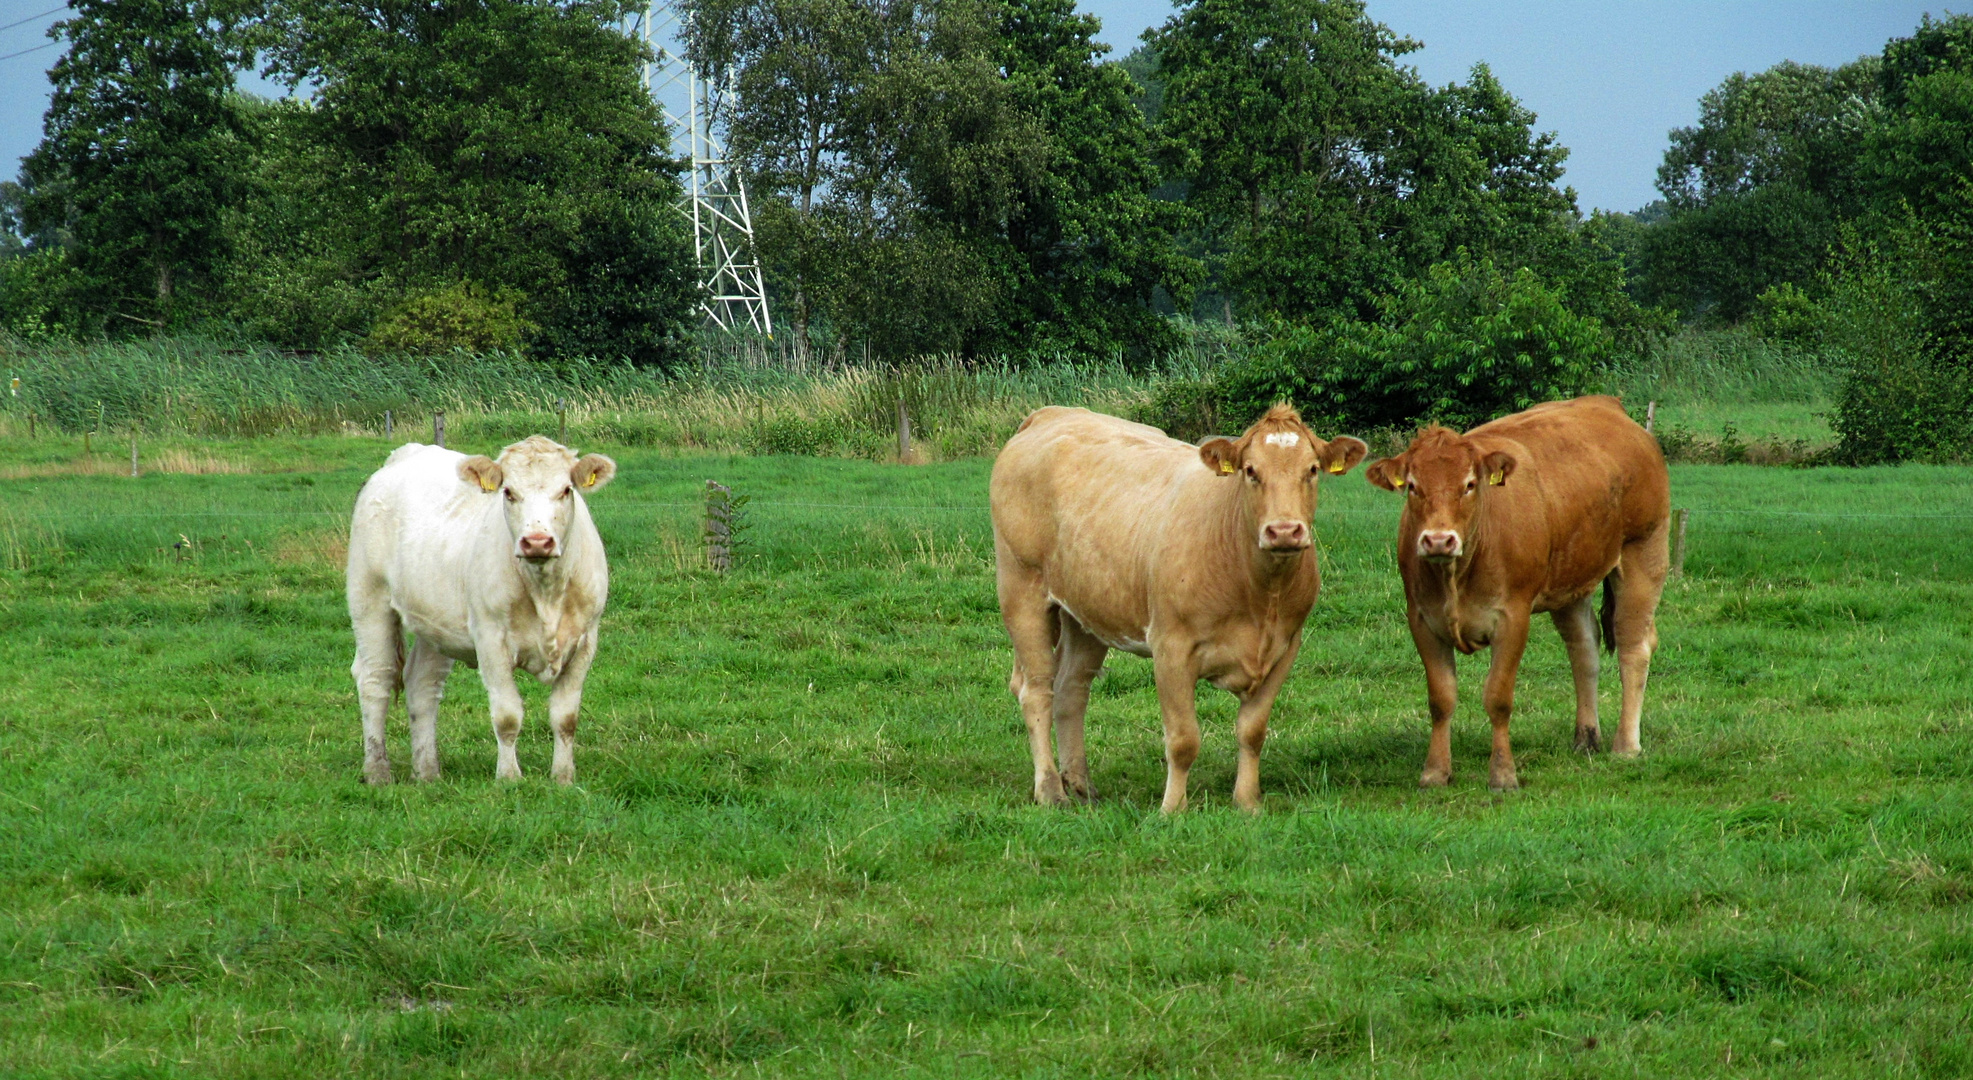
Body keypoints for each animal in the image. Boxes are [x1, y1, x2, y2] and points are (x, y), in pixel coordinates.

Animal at [343, 438, 611, 785]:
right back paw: (377, 771)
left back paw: (427, 772)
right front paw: (509, 778)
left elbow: (565, 716)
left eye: (566, 490)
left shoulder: (586, 639)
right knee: (376, 679)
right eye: (508, 492)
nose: (537, 542)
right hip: (368, 597)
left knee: (422, 684)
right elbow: (508, 716)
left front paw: (563, 777)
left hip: (435, 623)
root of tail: (406, 453)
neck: (546, 592)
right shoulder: (490, 638)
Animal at [994, 402, 1365, 813]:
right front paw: (1172, 809)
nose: (1284, 530)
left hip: (1087, 611)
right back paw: (1049, 789)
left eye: (1312, 469)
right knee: (1037, 690)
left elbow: (1252, 732)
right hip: (1021, 590)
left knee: (1071, 688)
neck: (1260, 594)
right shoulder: (1171, 647)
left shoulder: (1286, 647)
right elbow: (1183, 739)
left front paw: (1247, 803)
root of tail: (1053, 412)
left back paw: (1080, 785)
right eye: (1251, 470)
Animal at [1365, 396, 1673, 793]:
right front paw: (1435, 772)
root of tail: (1607, 405)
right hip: (1571, 580)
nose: (1438, 540)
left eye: (1469, 484)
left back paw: (1626, 746)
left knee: (1634, 646)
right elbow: (1441, 699)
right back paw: (1586, 737)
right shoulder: (1422, 619)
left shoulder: (1513, 617)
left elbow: (1498, 697)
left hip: (1644, 551)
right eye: (1413, 487)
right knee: (1584, 649)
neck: (1457, 573)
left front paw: (1503, 774)